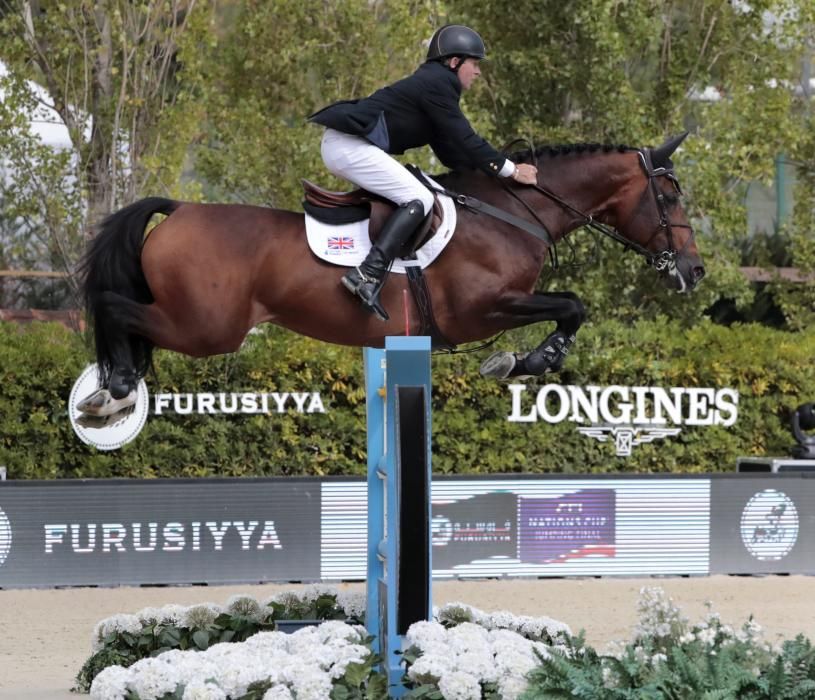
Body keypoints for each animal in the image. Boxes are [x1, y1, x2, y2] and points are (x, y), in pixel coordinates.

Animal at [76, 133, 704, 416]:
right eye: (672, 196)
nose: (694, 271)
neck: (509, 213)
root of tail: (181, 208)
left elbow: (571, 305)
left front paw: (524, 361)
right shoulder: (482, 309)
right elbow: (573, 304)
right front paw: (524, 361)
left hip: (202, 325)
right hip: (208, 328)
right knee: (112, 306)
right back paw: (115, 386)